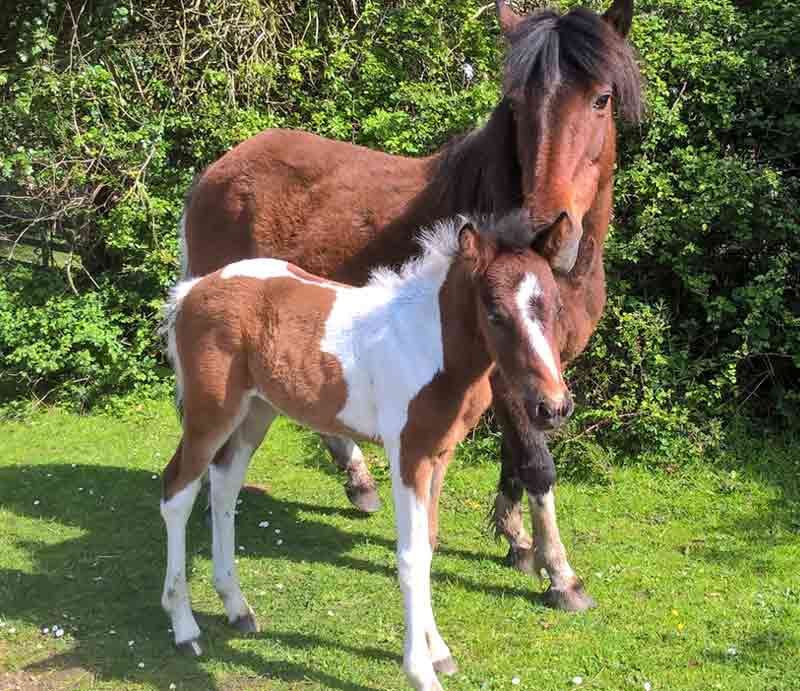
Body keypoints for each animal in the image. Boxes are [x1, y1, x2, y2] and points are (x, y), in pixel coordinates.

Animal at [160, 212, 571, 689]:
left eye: (556, 309)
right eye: (495, 313)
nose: (553, 407)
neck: (430, 349)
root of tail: (193, 290)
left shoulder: (440, 455)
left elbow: (428, 542)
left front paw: (438, 651)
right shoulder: (408, 454)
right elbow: (411, 556)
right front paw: (421, 670)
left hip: (256, 413)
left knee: (225, 487)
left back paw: (236, 606)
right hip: (211, 413)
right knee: (177, 492)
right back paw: (184, 627)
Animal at [179, 0, 641, 611]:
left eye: (600, 98)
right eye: (517, 104)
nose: (547, 229)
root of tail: (217, 170)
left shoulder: (538, 365)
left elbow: (515, 459)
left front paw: (517, 541)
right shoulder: (503, 367)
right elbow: (536, 463)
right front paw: (561, 575)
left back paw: (359, 482)